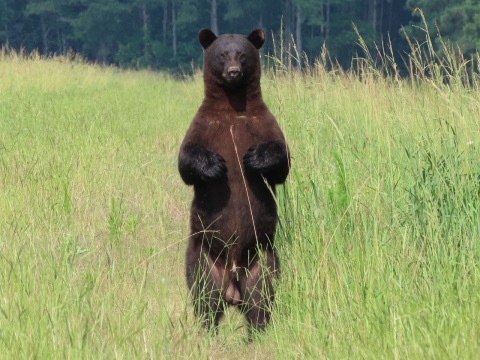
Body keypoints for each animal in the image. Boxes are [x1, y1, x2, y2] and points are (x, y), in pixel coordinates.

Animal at [177, 28, 286, 338]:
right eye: (223, 54)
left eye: (243, 54)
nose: (234, 72)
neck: (233, 107)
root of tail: (233, 285)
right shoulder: (203, 127)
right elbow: (186, 161)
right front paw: (214, 166)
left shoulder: (264, 124)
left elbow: (282, 162)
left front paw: (255, 159)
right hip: (204, 256)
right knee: (204, 296)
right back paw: (207, 333)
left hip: (262, 259)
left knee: (261, 298)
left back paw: (256, 334)